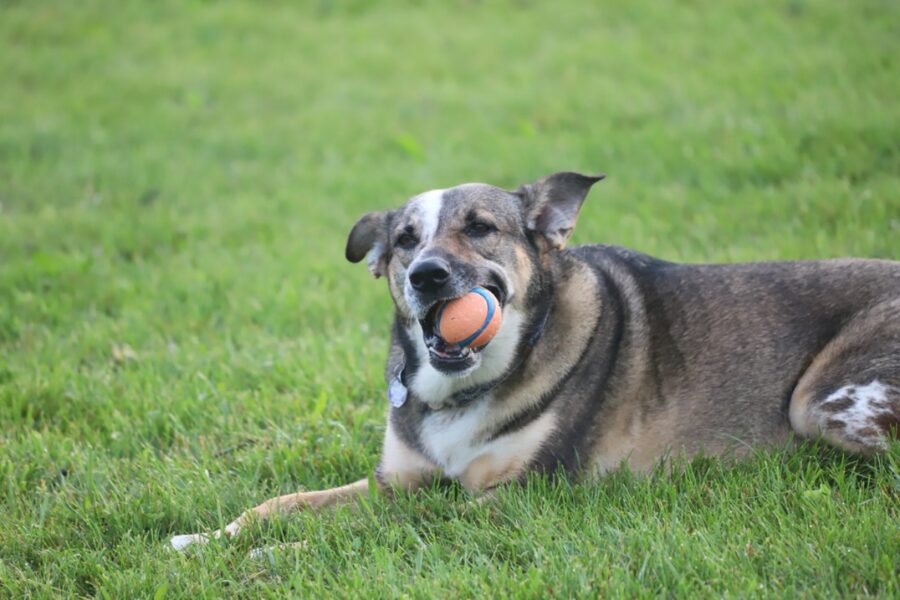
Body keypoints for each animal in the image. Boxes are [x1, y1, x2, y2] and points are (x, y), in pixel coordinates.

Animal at [171, 171, 900, 552]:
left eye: (480, 228)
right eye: (405, 240)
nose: (427, 275)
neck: (463, 391)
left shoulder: (514, 497)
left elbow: (385, 529)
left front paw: (272, 558)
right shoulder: (395, 480)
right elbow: (281, 503)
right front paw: (206, 541)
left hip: (819, 404)